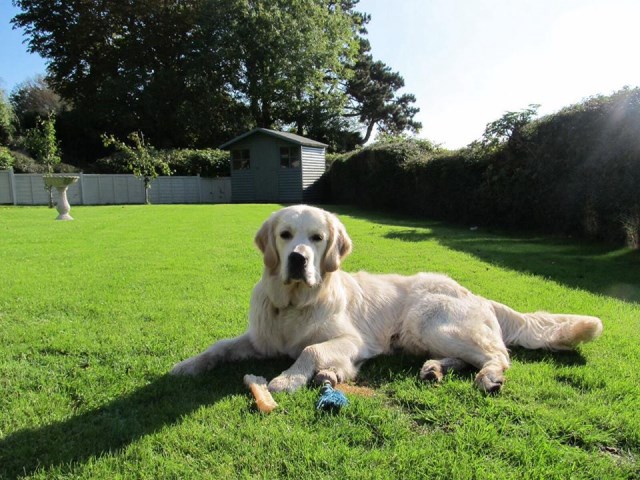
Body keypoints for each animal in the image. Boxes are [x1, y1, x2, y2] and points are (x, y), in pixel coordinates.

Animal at [172, 204, 604, 392]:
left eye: (317, 238)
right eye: (285, 235)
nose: (298, 259)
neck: (294, 304)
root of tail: (475, 292)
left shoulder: (352, 340)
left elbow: (310, 350)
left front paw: (287, 379)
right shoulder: (260, 339)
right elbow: (218, 346)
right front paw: (186, 366)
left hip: (431, 321)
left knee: (498, 355)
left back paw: (489, 376)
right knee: (467, 357)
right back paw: (435, 369)